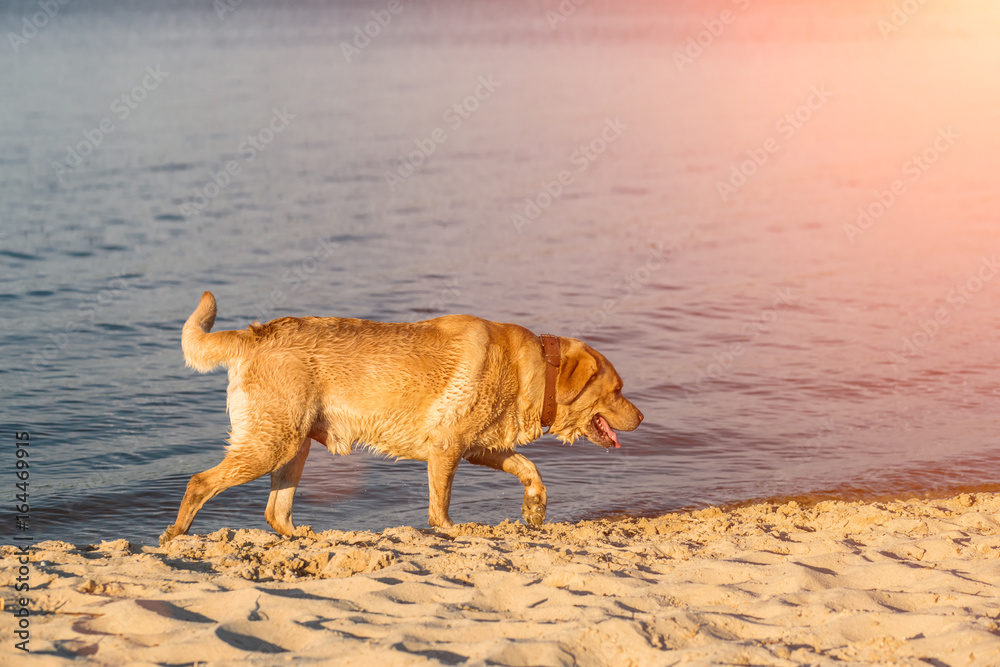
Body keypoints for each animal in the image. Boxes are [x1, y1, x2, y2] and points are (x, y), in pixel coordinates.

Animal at [156, 290, 640, 544]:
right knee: (199, 483)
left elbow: (529, 467)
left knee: (276, 512)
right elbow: (440, 506)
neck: (535, 371)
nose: (640, 416)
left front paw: (535, 508)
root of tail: (255, 334)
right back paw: (175, 535)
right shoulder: (448, 448)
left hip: (293, 448)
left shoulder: (480, 447)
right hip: (270, 444)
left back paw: (305, 538)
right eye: (618, 390)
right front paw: (453, 530)